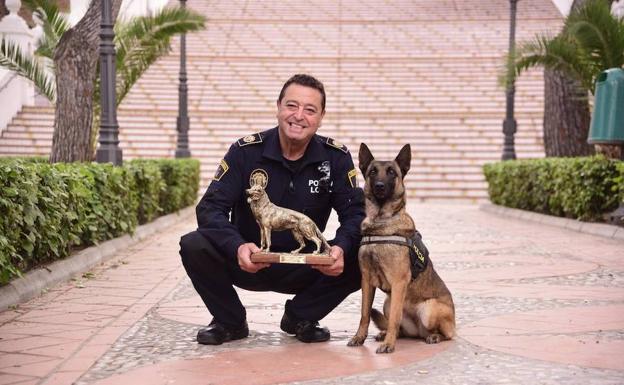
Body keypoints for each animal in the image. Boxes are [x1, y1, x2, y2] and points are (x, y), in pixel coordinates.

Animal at [344, 142, 456, 352]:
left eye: (391, 172)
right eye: (372, 172)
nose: (379, 186)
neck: (380, 222)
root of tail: (419, 331)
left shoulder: (398, 282)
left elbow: (395, 318)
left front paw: (389, 345)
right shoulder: (367, 280)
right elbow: (364, 314)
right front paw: (359, 337)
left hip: (429, 309)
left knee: (447, 334)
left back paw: (433, 336)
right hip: (388, 303)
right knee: (400, 329)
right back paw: (385, 334)